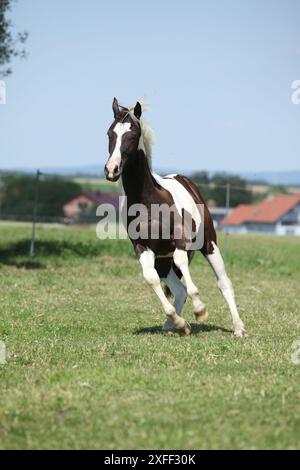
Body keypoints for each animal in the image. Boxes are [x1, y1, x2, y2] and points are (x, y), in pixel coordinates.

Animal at [104, 98, 247, 338]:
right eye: (109, 134)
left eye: (132, 135)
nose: (111, 170)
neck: (149, 200)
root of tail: (186, 181)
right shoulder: (142, 247)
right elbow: (150, 278)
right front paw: (179, 321)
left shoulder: (180, 240)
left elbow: (185, 267)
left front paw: (200, 310)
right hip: (163, 259)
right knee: (179, 290)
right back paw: (176, 325)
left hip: (209, 244)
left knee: (223, 283)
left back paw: (239, 328)